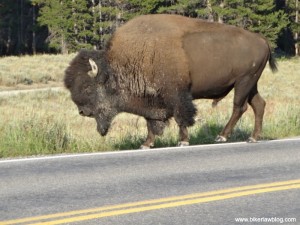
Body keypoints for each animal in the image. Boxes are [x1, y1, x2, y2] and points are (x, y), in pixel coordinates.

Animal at [64, 13, 278, 148]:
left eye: (88, 88)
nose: (82, 111)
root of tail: (261, 39)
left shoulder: (176, 95)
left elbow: (180, 117)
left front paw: (182, 141)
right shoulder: (151, 101)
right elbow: (151, 122)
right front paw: (146, 144)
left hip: (243, 81)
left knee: (239, 107)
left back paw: (222, 136)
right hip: (251, 84)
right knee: (259, 104)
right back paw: (253, 138)